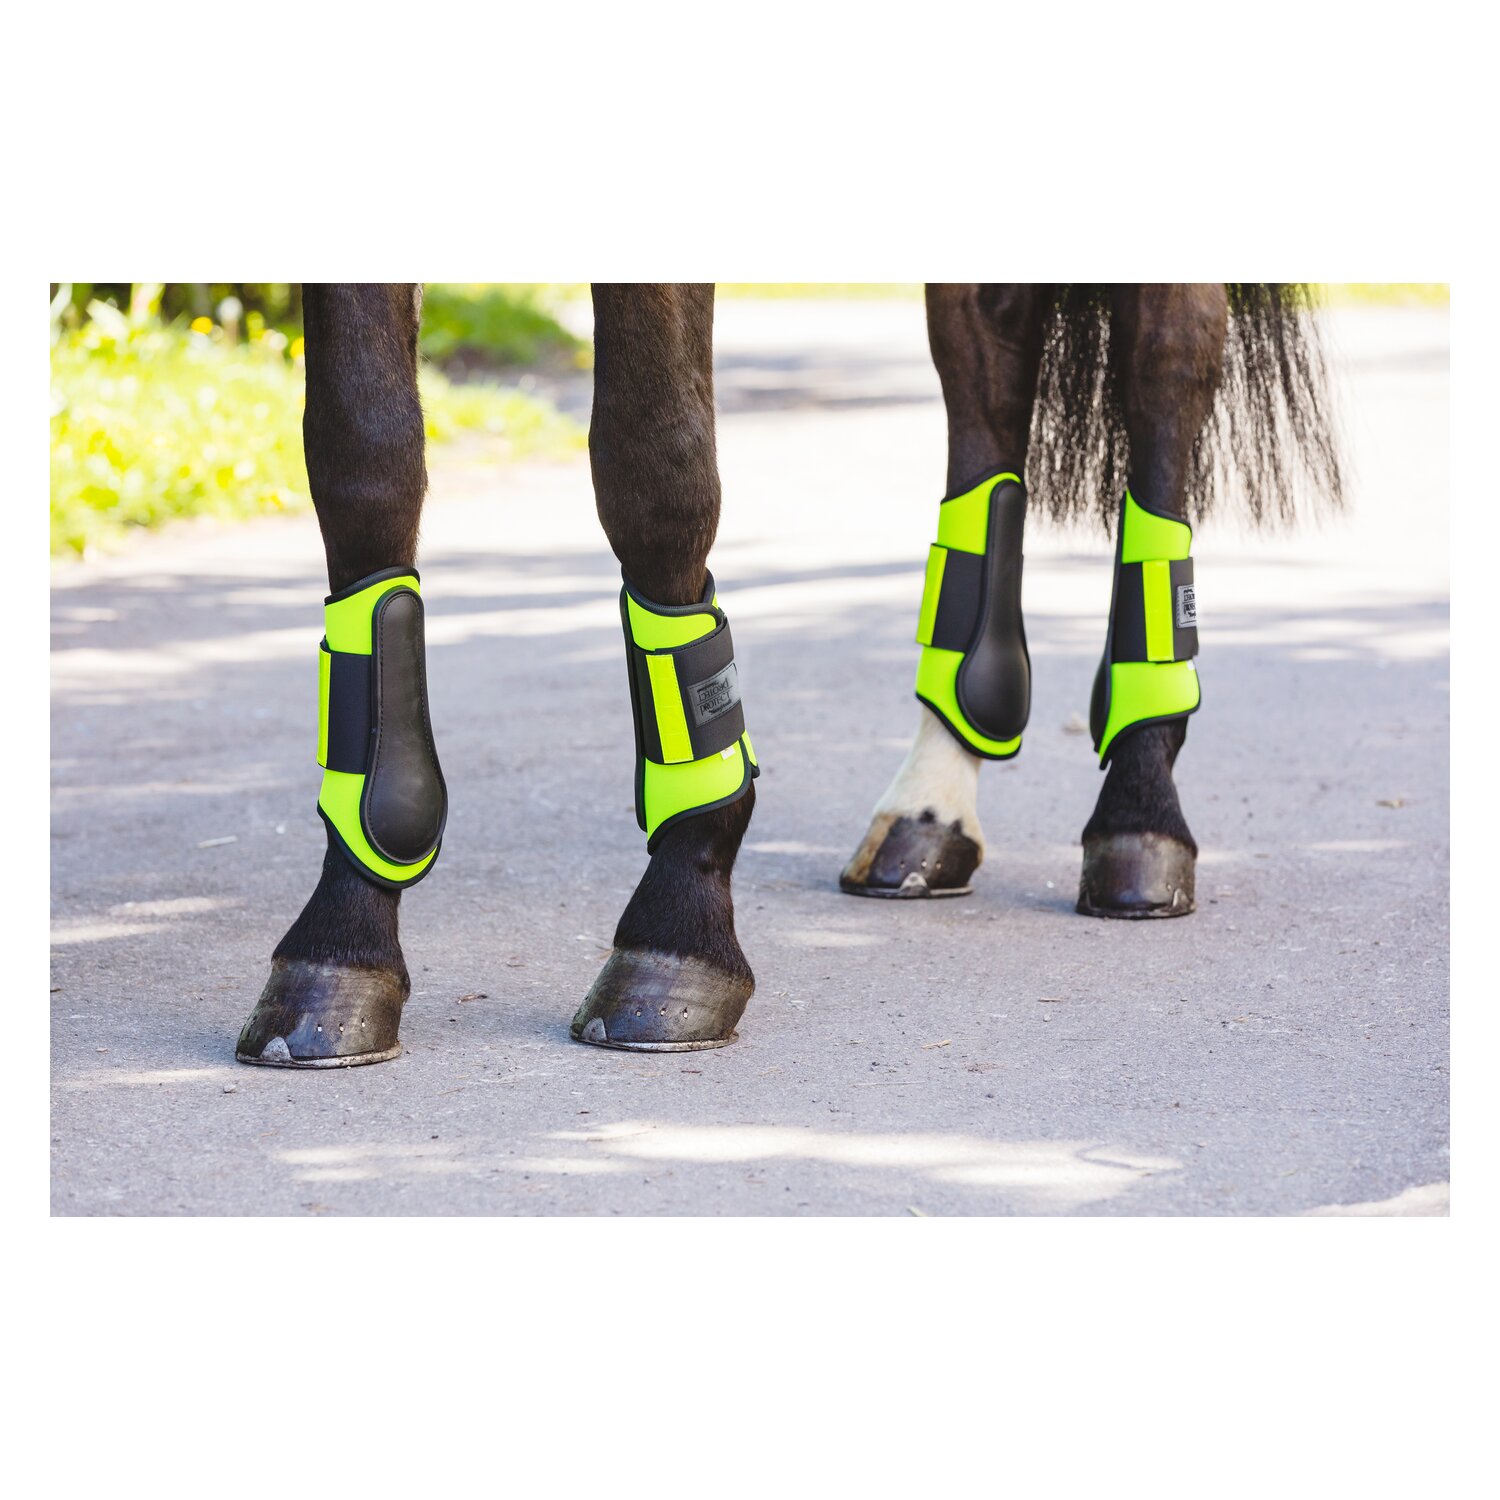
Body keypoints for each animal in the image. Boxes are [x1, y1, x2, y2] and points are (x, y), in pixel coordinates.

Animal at [234, 283, 1342, 1067]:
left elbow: (655, 460)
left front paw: (679, 920)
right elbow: (362, 450)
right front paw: (340, 945)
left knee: (1168, 353)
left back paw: (1140, 813)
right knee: (989, 370)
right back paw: (928, 814)